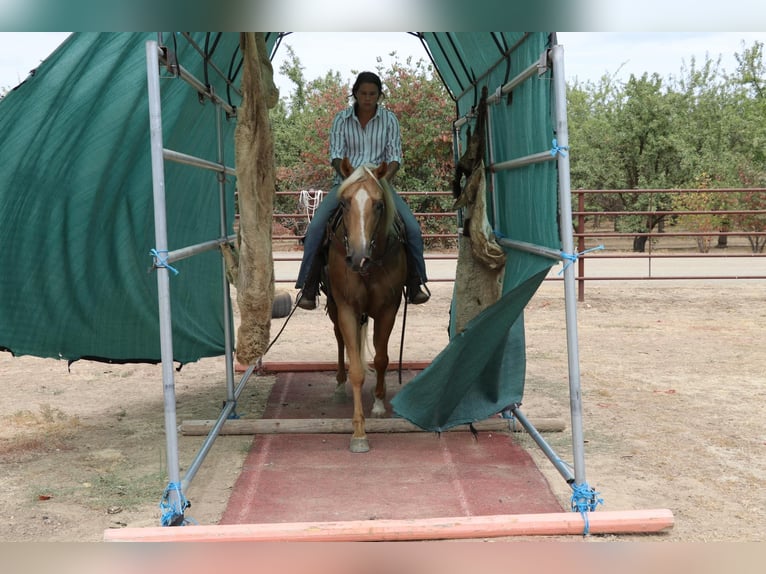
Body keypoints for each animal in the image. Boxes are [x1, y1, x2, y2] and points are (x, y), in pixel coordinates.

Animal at [324, 157, 408, 453]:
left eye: (379, 204)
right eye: (344, 202)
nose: (358, 257)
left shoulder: (388, 308)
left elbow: (381, 359)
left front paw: (380, 404)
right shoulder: (347, 308)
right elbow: (357, 370)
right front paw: (359, 434)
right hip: (334, 309)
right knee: (339, 340)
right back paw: (338, 387)